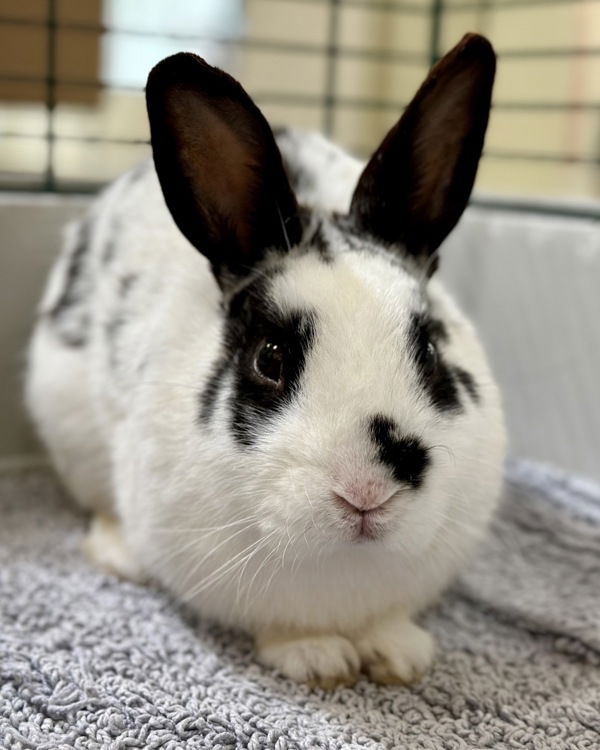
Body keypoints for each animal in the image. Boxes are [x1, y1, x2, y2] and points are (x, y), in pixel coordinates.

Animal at [28, 33, 506, 688]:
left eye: (430, 350)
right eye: (270, 359)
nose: (367, 491)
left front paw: (398, 655)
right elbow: (290, 631)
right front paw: (317, 659)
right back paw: (118, 552)